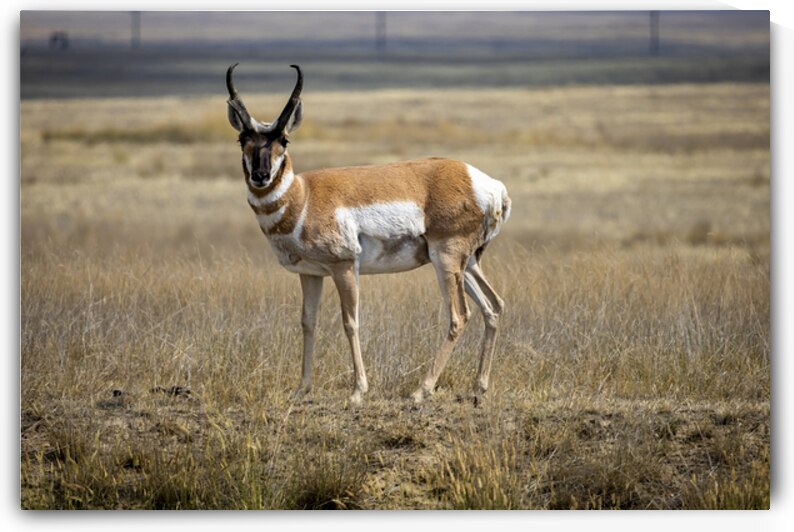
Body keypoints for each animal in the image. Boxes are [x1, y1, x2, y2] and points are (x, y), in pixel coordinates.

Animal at [226, 63, 511, 406]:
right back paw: (478, 388)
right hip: (466, 265)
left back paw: (421, 390)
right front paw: (301, 389)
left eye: (284, 139)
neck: (304, 196)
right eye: (242, 138)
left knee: (459, 316)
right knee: (493, 306)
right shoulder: (311, 274)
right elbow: (308, 322)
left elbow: (350, 322)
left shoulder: (345, 267)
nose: (261, 175)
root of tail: (487, 184)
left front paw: (357, 392)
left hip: (446, 260)